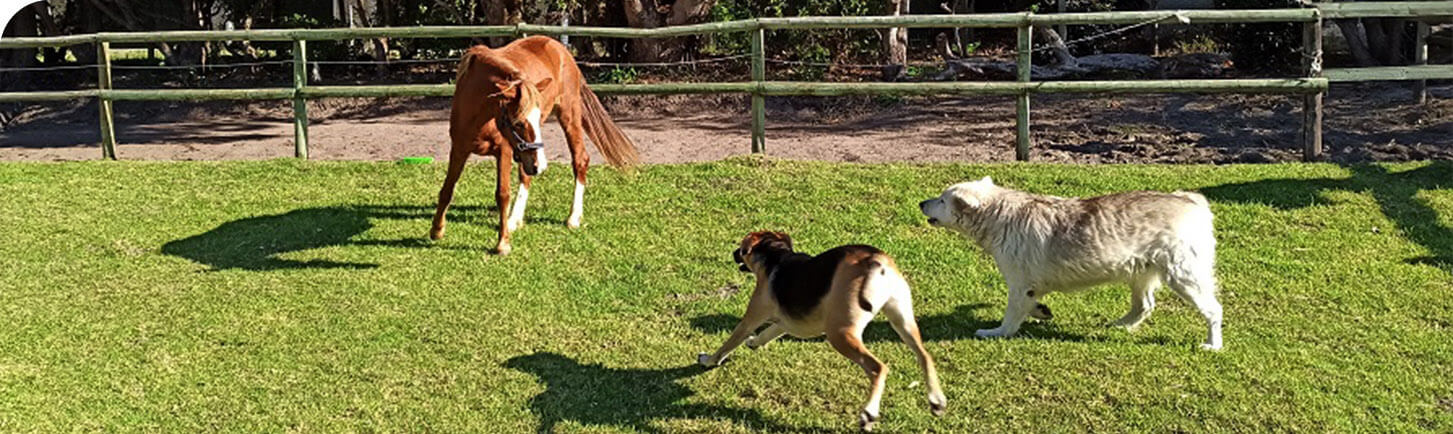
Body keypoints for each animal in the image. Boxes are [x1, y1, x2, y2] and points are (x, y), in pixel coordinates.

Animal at [427, 37, 639, 256]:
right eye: (519, 123)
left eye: (535, 119)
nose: (542, 166)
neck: (479, 112)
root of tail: (560, 48)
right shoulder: (459, 148)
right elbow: (447, 189)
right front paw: (436, 230)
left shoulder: (504, 151)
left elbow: (502, 194)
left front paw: (503, 243)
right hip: (527, 153)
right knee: (526, 175)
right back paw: (515, 219)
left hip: (567, 116)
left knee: (579, 159)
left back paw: (572, 217)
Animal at [697, 230, 947, 432]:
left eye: (741, 248)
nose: (733, 253)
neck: (776, 257)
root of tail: (875, 261)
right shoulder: (788, 323)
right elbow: (768, 332)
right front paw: (753, 342)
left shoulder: (752, 316)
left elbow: (728, 344)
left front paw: (708, 360)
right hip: (902, 319)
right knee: (925, 356)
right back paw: (936, 400)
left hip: (840, 333)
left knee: (878, 368)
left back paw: (869, 413)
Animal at [918, 177, 1226, 349]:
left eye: (942, 200)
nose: (922, 203)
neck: (1001, 214)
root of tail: (1191, 200)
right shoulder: (1028, 288)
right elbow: (1030, 305)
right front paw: (1040, 311)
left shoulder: (1019, 285)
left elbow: (1010, 317)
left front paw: (996, 333)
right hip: (1140, 274)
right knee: (1144, 306)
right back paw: (1119, 325)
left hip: (1184, 276)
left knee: (1213, 310)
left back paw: (1213, 344)